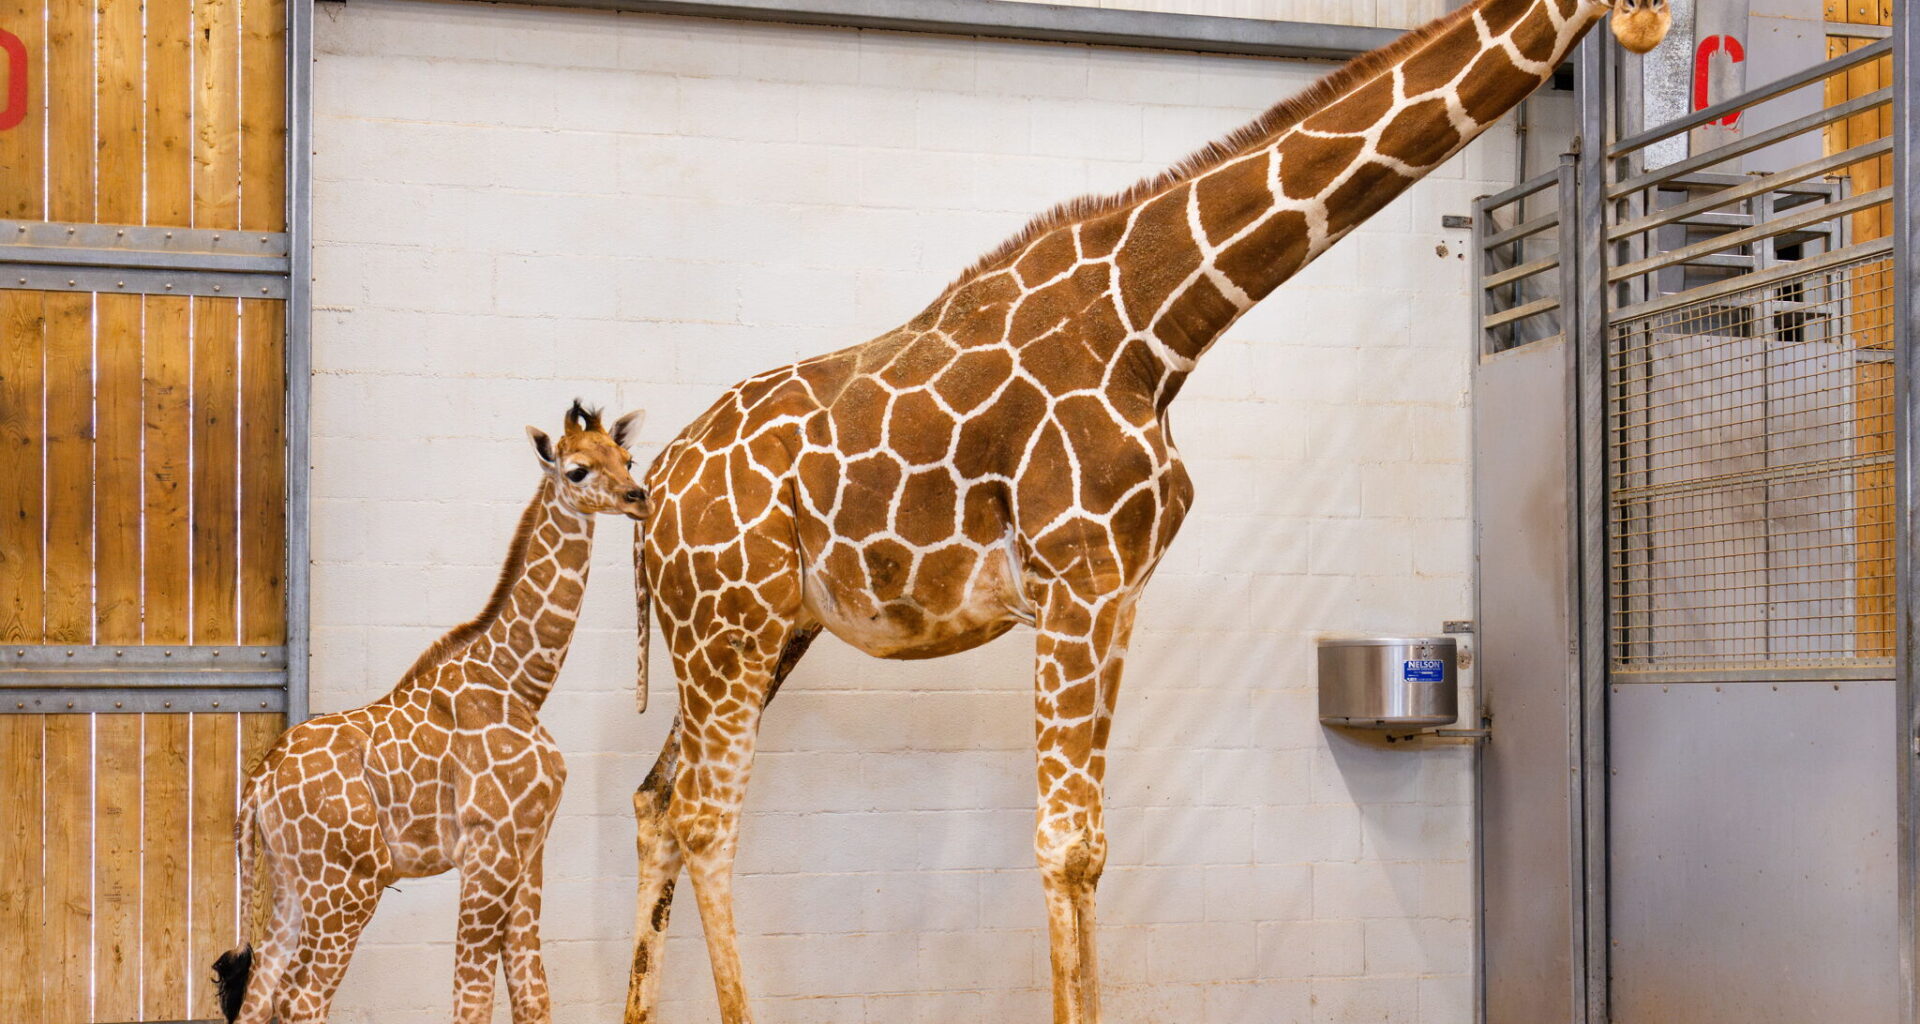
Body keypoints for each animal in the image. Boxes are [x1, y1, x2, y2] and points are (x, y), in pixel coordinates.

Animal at [210, 402, 647, 1024]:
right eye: (578, 470)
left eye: (627, 458)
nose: (640, 497)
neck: (520, 681)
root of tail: (257, 784)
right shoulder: (490, 849)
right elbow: (472, 997)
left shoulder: (530, 848)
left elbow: (533, 993)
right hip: (349, 882)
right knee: (300, 997)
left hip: (292, 880)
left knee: (260, 990)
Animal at [623, 2, 1670, 1021]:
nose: (1650, 26)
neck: (1155, 324)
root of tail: (655, 489)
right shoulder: (1074, 581)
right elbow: (1062, 843)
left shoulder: (1118, 598)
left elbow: (1093, 847)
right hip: (729, 626)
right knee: (705, 817)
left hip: (758, 631)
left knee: (656, 801)